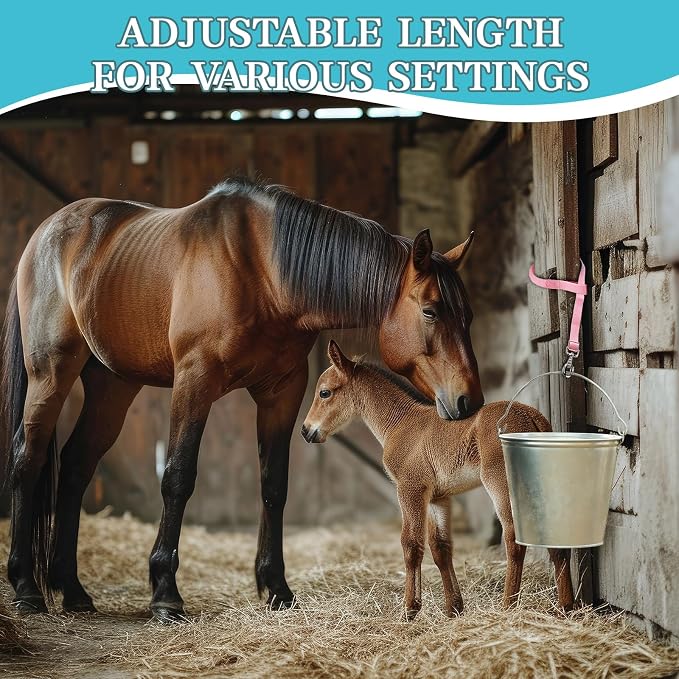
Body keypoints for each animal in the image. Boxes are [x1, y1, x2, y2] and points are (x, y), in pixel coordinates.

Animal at [0, 177, 484, 620]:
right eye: (430, 311)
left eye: (467, 314)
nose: (469, 402)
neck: (262, 271)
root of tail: (45, 234)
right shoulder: (195, 382)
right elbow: (178, 478)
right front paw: (165, 592)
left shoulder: (282, 392)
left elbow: (274, 486)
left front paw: (277, 589)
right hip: (51, 374)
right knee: (28, 459)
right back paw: (26, 587)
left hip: (112, 386)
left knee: (75, 467)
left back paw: (73, 590)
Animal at [302, 340, 574, 619]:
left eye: (324, 393)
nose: (306, 431)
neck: (400, 423)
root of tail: (533, 418)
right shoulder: (437, 497)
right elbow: (440, 547)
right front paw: (453, 608)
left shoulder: (410, 488)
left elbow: (411, 544)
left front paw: (410, 610)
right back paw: (566, 607)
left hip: (500, 483)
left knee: (513, 538)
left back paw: (508, 605)